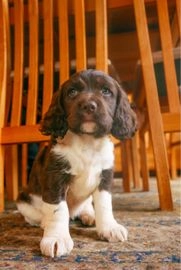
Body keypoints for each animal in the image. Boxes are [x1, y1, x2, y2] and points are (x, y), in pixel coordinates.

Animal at [16, 69, 137, 258]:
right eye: (72, 92)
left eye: (106, 91)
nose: (89, 106)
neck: (87, 142)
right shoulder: (55, 177)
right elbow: (58, 210)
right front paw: (56, 237)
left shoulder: (105, 176)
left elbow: (104, 204)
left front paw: (109, 227)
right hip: (24, 199)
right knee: (36, 215)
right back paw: (44, 222)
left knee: (85, 206)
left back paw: (88, 215)